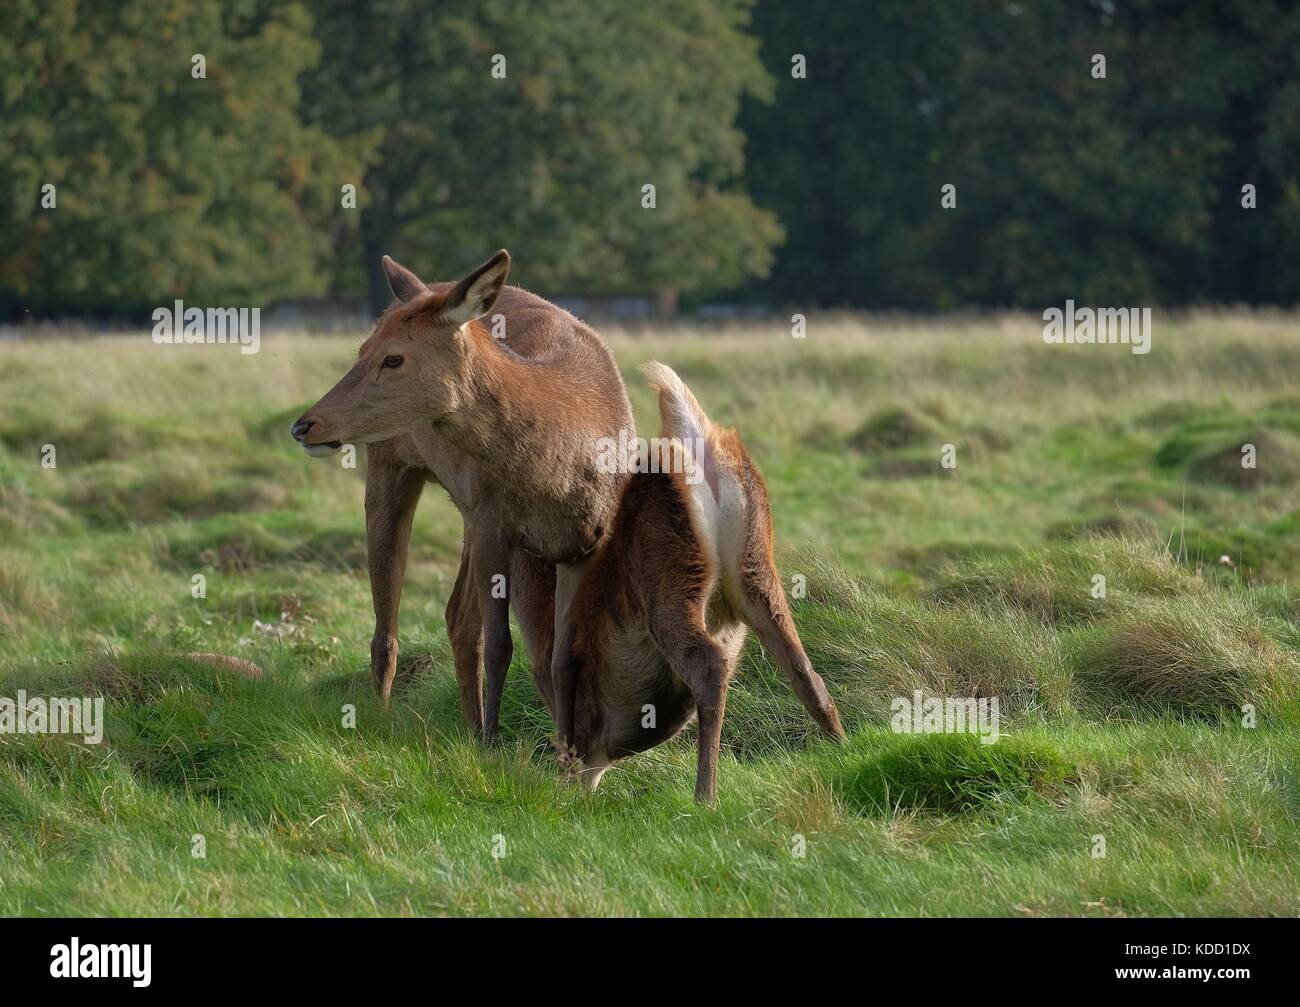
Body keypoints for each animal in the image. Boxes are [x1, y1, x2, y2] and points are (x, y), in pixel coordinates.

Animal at [291, 251, 632, 750]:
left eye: (393, 357)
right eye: (362, 349)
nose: (303, 425)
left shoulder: (579, 541)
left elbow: (556, 652)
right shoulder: (497, 524)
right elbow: (501, 645)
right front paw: (496, 743)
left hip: (469, 512)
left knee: (458, 617)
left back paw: (471, 727)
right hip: (394, 466)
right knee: (389, 627)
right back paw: (391, 718)